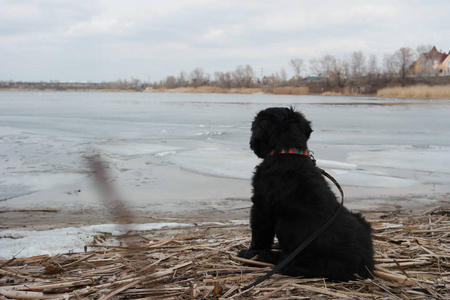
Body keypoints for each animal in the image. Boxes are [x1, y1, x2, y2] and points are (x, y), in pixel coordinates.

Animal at [237, 106, 374, 280]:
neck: (288, 152)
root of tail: (365, 267)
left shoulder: (262, 206)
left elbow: (260, 234)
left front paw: (250, 253)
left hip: (296, 248)